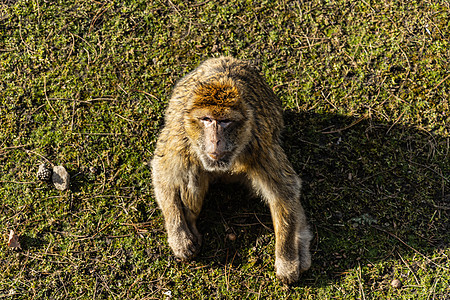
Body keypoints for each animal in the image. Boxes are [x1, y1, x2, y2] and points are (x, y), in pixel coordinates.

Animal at [150, 56, 310, 284]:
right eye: (206, 119)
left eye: (225, 121)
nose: (215, 140)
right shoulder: (180, 137)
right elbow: (163, 173)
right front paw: (179, 237)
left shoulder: (259, 143)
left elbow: (284, 192)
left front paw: (286, 260)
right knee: (192, 172)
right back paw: (190, 224)